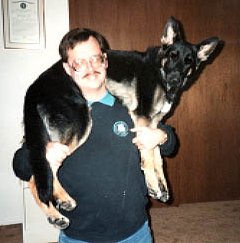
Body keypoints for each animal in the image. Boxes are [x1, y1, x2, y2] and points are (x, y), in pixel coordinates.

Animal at [23, 17, 219, 230]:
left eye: (188, 61)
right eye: (172, 56)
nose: (174, 80)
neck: (159, 71)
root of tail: (33, 87)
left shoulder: (152, 126)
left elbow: (157, 157)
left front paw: (161, 186)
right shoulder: (143, 119)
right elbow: (148, 158)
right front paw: (153, 183)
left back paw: (56, 210)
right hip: (79, 123)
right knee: (39, 174)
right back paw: (59, 207)